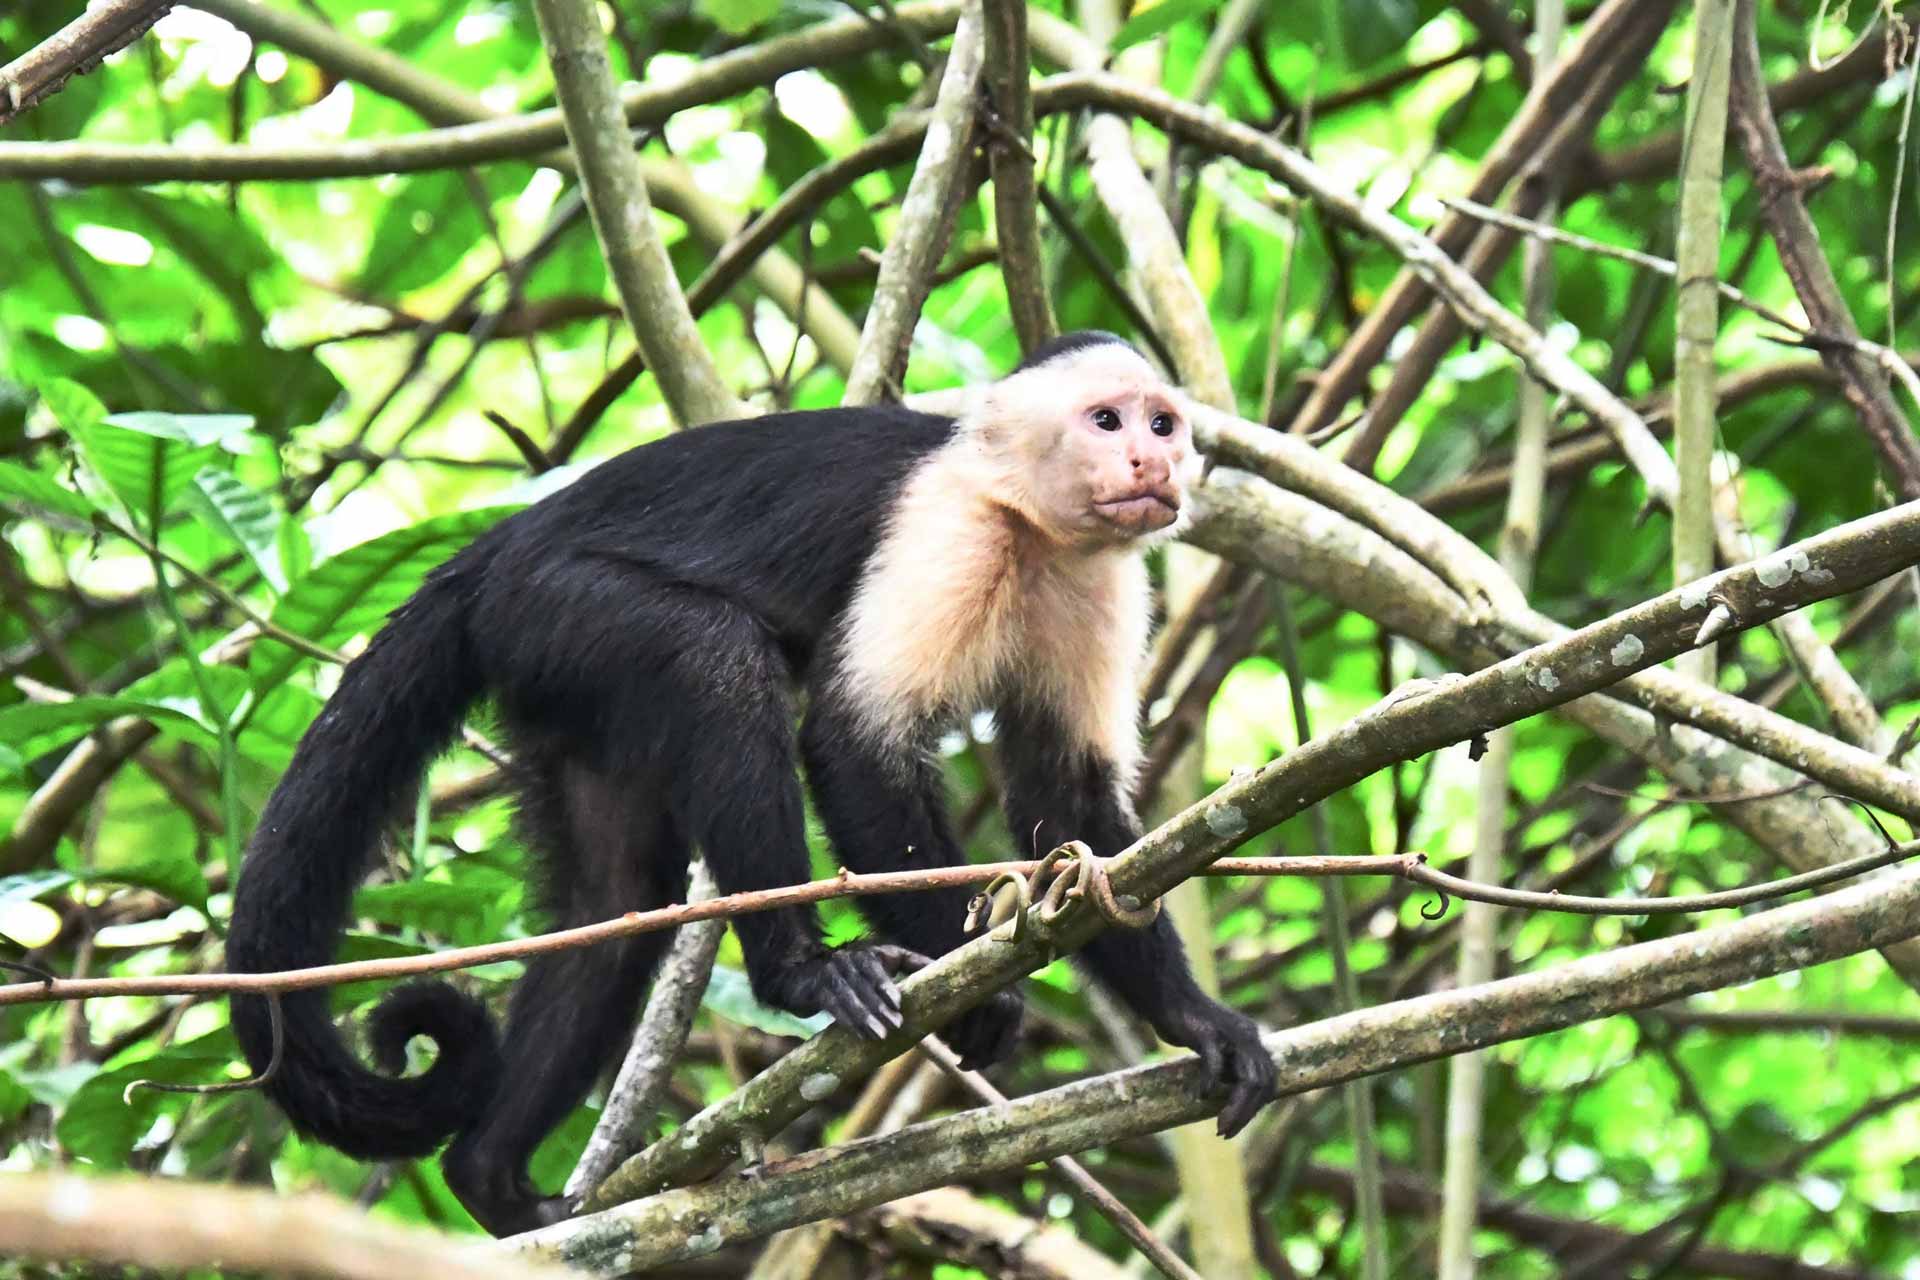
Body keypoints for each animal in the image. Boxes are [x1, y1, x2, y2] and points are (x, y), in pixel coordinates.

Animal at [226, 330, 1277, 1237]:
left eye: (1162, 424)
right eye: (1106, 421)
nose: (1152, 462)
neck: (1031, 524)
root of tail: (495, 552)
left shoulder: (1102, 583)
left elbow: (1068, 810)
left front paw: (1194, 1019)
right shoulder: (944, 527)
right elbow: (854, 744)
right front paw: (969, 980)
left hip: (558, 678)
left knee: (616, 897)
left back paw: (492, 1180)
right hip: (561, 606)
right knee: (715, 660)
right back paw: (802, 974)